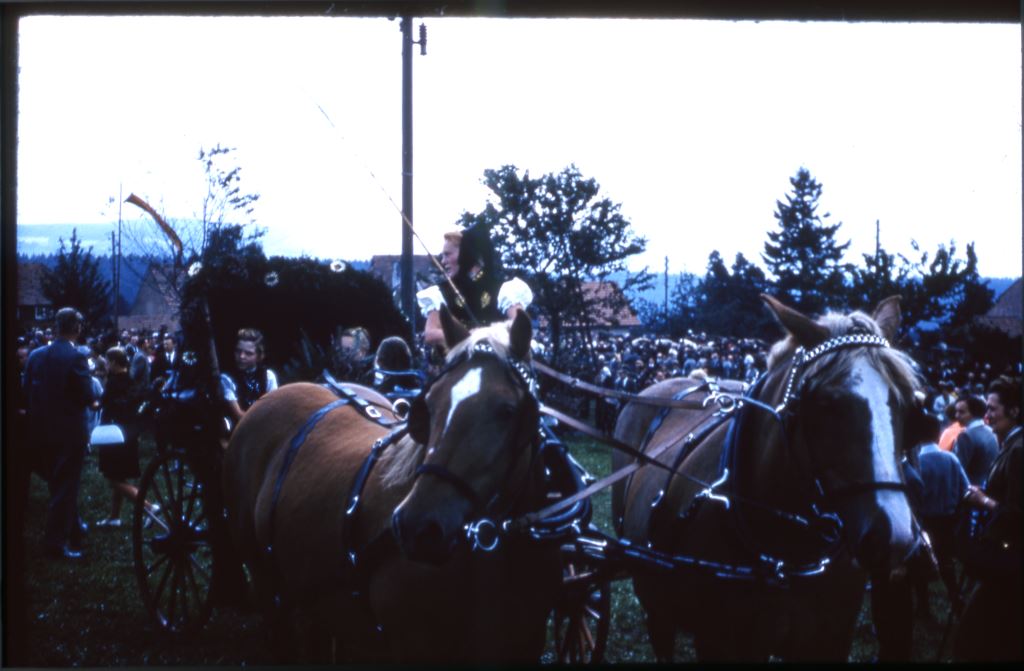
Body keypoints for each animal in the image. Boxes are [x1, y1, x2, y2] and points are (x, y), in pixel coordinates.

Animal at [222, 306, 561, 663]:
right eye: (430, 405)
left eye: (507, 410)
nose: (419, 527)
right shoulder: (411, 645)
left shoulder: (526, 643)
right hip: (264, 578)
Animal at [612, 295, 927, 661]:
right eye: (826, 403)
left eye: (908, 404)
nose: (894, 535)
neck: (788, 549)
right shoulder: (720, 642)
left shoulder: (829, 641)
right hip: (654, 602)